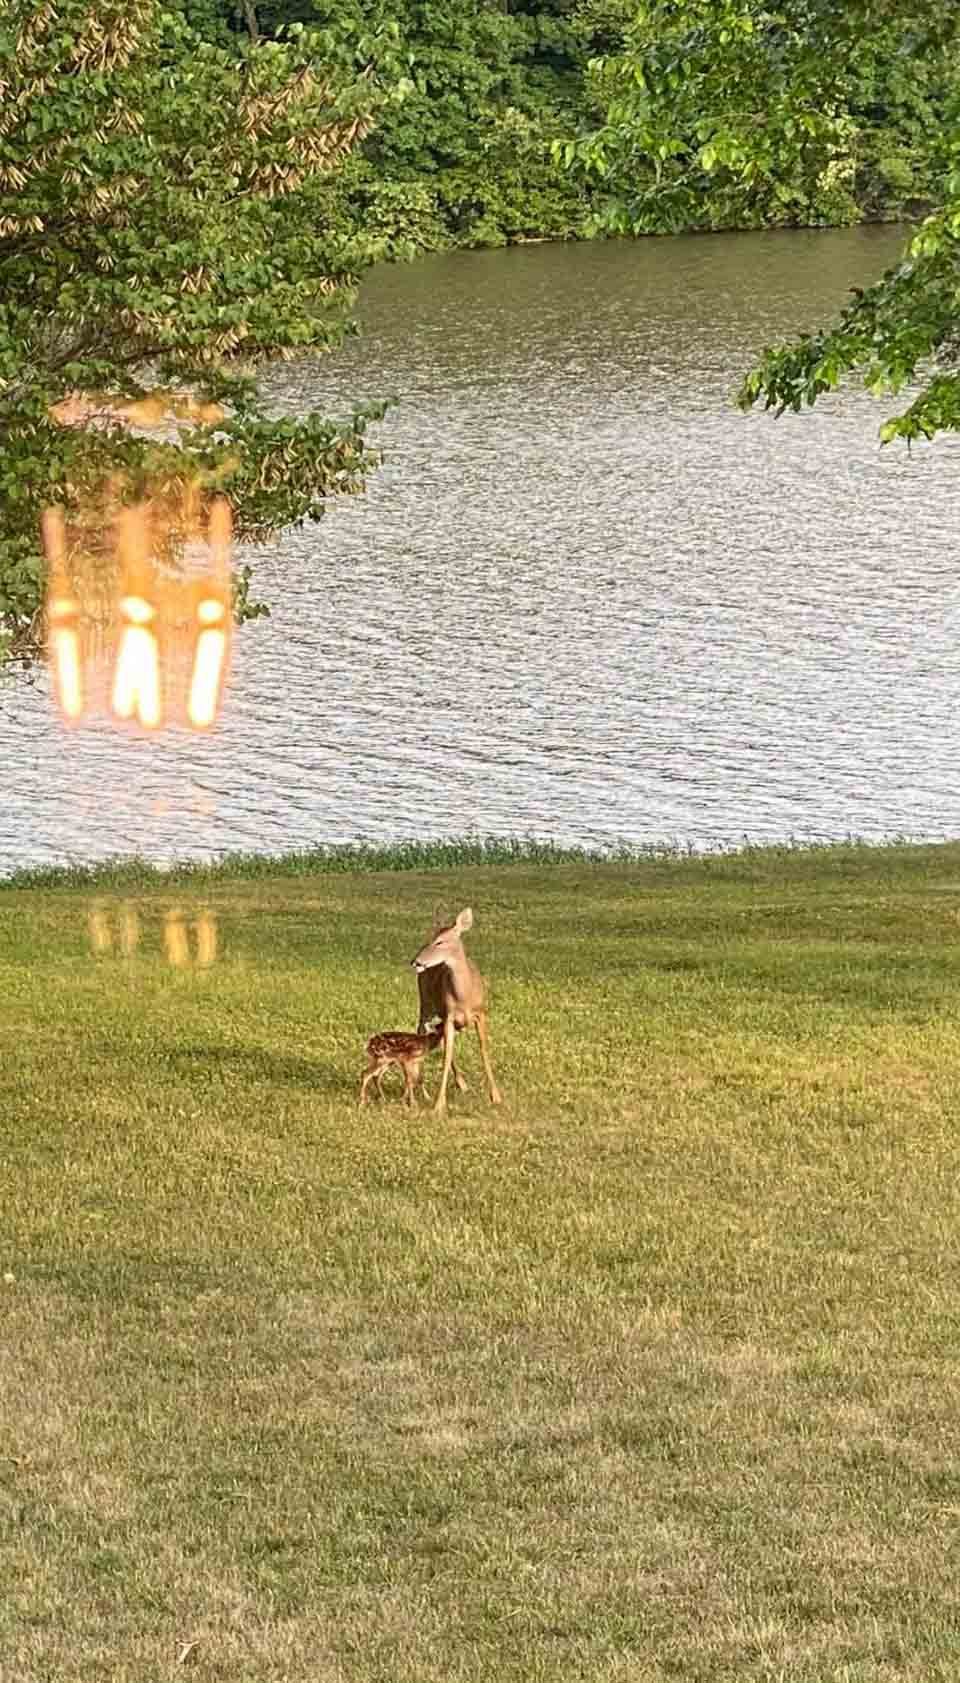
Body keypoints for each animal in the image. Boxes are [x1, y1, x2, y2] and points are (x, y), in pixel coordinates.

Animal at [409, 908, 501, 1117]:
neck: (464, 996)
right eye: (429, 940)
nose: (415, 962)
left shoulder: (481, 1013)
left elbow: (484, 1049)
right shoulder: (449, 1015)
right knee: (422, 1034)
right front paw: (438, 1104)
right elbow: (447, 1054)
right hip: (426, 1004)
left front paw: (496, 1096)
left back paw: (462, 1085)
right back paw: (426, 1092)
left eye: (440, 941)